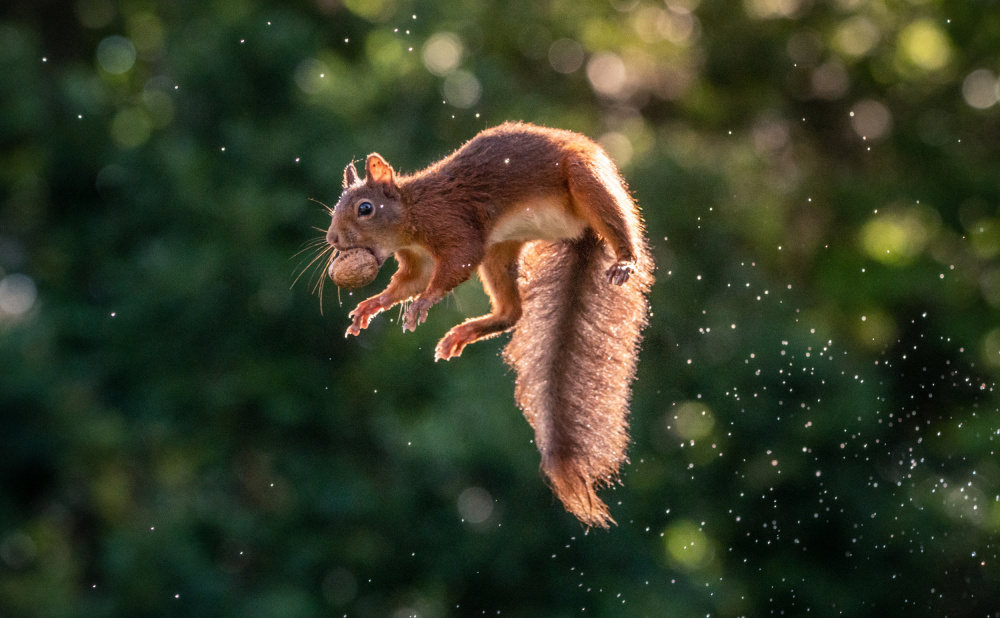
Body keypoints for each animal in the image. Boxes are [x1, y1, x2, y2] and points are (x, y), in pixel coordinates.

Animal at [325, 122, 654, 528]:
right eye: (335, 208)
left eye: (365, 209)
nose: (332, 239)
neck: (413, 210)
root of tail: (582, 232)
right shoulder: (418, 261)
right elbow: (409, 283)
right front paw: (373, 305)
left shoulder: (453, 223)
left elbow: (457, 262)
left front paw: (423, 304)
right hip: (501, 251)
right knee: (513, 313)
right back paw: (467, 330)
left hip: (587, 180)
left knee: (618, 221)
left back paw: (626, 258)